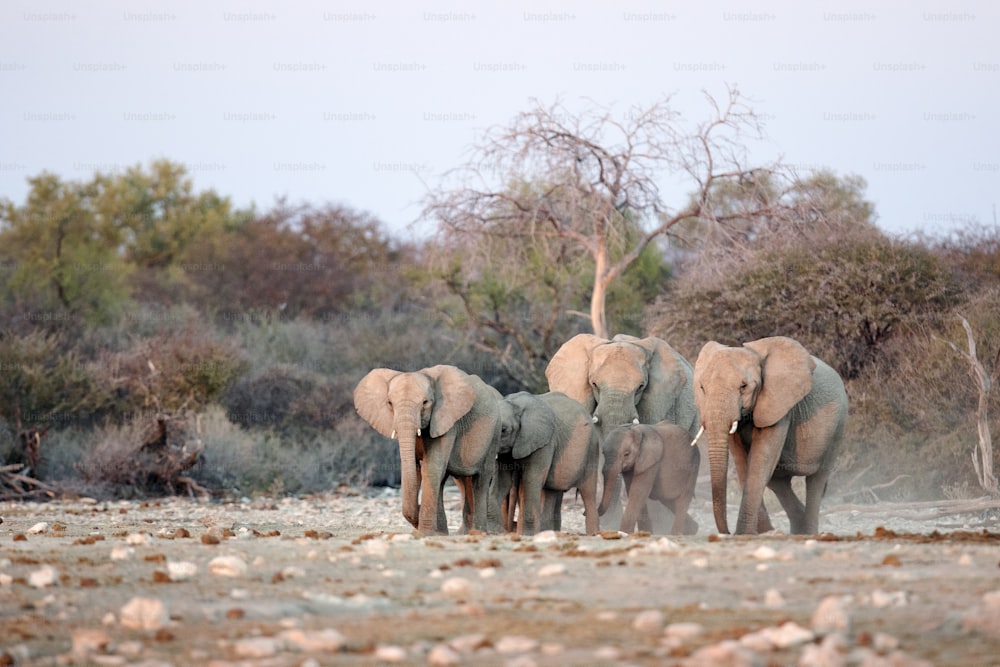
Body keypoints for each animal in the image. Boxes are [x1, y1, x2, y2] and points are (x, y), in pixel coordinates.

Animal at [356, 366, 504, 536]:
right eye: (389, 403)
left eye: (425, 402)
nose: (418, 508)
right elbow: (416, 468)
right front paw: (432, 532)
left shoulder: (446, 421)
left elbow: (431, 467)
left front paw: (425, 533)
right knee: (455, 479)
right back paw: (451, 533)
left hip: (494, 434)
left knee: (481, 479)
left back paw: (477, 532)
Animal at [490, 392, 596, 536]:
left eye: (504, 430)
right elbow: (503, 481)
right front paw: (492, 530)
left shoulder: (544, 442)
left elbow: (531, 479)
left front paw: (527, 535)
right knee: (552, 491)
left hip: (591, 450)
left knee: (589, 494)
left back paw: (594, 534)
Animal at [696, 336, 852, 536]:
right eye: (702, 387)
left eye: (743, 387)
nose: (728, 533)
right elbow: (742, 462)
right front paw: (757, 533)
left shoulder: (779, 406)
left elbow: (760, 459)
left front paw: (745, 534)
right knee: (779, 483)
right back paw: (794, 528)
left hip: (838, 426)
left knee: (816, 480)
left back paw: (807, 531)